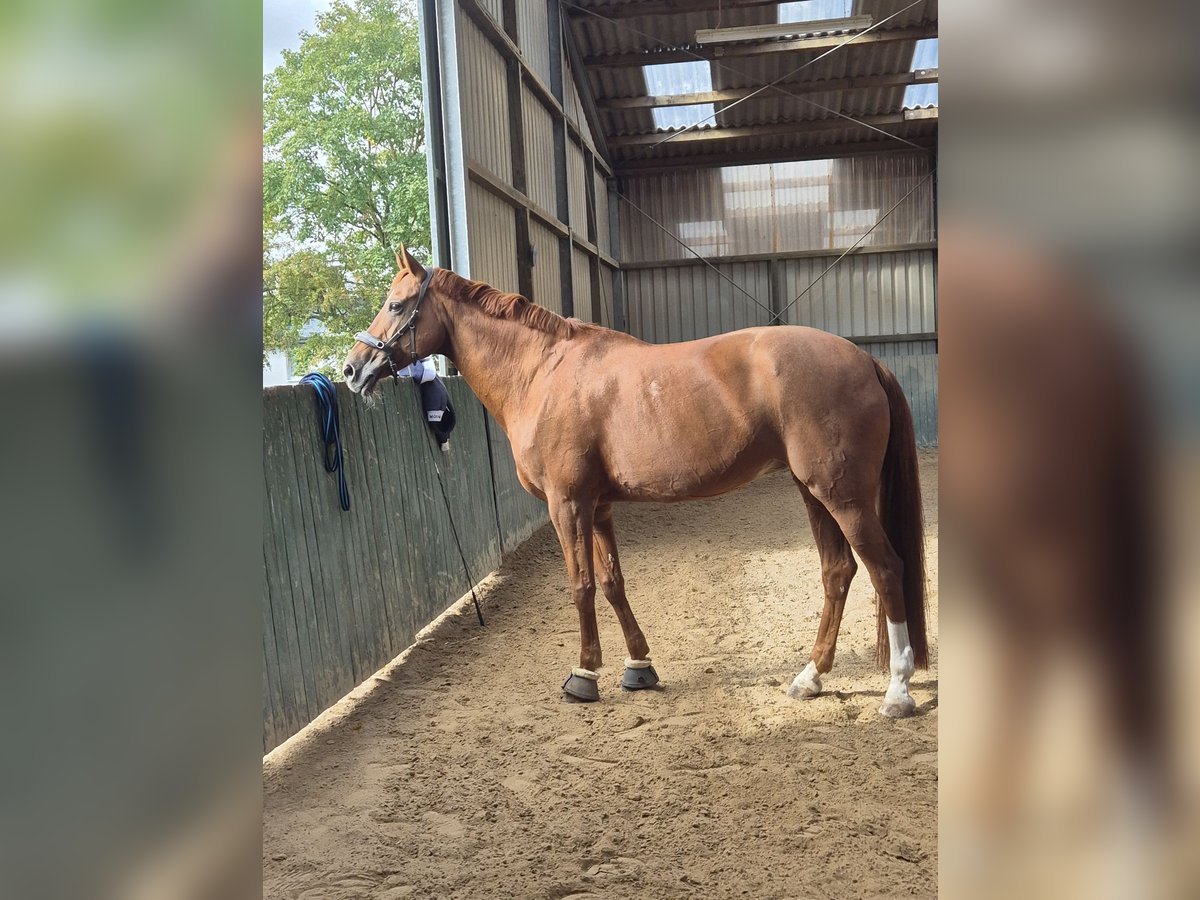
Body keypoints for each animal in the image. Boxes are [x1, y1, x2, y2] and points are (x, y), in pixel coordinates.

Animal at [343, 248, 931, 720]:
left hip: (844, 497)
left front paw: (584, 675)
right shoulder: (598, 507)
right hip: (814, 493)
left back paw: (898, 692)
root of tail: (864, 358)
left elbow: (580, 586)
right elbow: (612, 584)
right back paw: (811, 677)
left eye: (396, 305)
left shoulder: (568, 506)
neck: (543, 373)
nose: (352, 369)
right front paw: (638, 666)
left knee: (885, 569)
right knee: (838, 572)